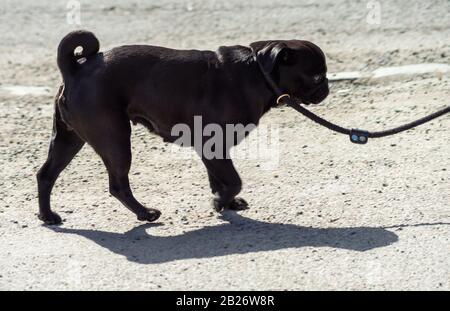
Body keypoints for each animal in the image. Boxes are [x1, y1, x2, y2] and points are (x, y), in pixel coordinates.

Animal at [37, 30, 328, 225]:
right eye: (317, 77)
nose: (326, 88)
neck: (257, 72)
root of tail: (74, 70)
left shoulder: (214, 150)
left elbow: (219, 179)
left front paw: (226, 202)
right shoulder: (212, 145)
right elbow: (234, 180)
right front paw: (220, 202)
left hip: (68, 139)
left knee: (46, 175)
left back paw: (47, 215)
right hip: (115, 139)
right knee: (118, 185)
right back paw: (145, 213)